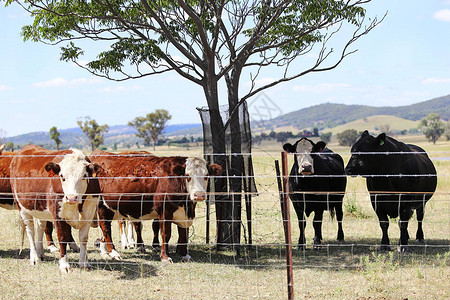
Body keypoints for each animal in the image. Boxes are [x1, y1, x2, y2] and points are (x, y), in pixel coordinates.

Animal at [89, 150, 222, 262]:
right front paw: (165, 257)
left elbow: (183, 233)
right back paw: (114, 252)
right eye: (187, 176)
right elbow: (165, 233)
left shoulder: (184, 214)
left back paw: (105, 252)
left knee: (104, 229)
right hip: (102, 206)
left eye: (206, 176)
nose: (199, 195)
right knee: (106, 227)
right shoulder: (164, 211)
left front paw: (185, 255)